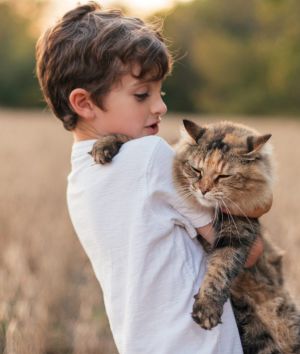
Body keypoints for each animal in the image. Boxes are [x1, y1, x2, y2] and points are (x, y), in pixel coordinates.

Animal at [91, 119, 300, 354]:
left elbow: (221, 268)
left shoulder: (237, 231)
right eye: (196, 170)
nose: (203, 190)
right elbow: (137, 137)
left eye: (223, 176)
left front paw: (207, 308)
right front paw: (104, 145)